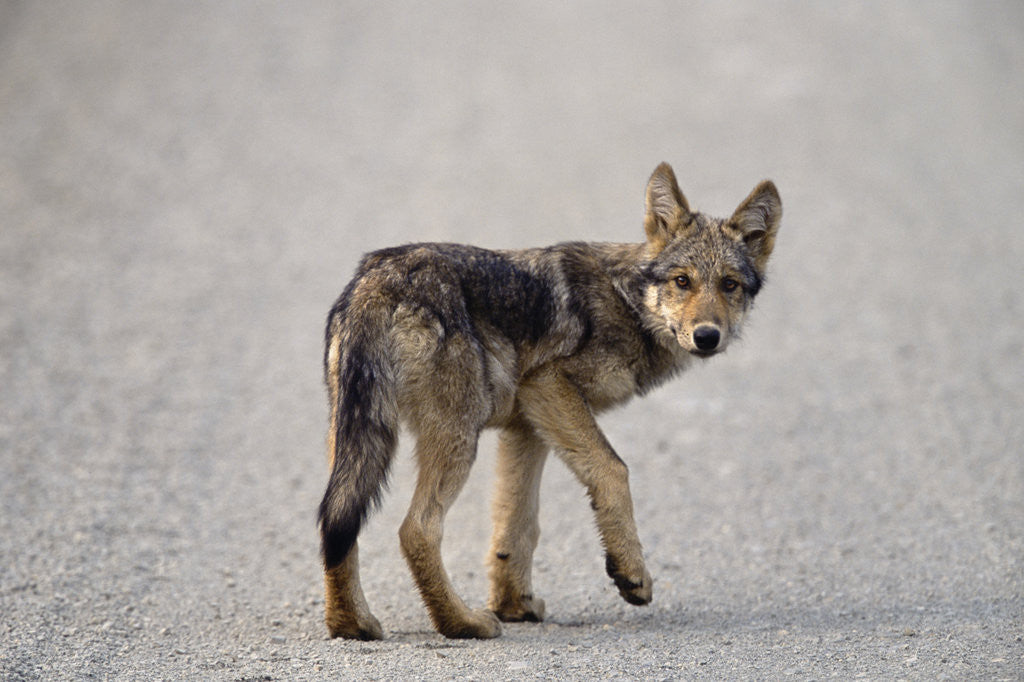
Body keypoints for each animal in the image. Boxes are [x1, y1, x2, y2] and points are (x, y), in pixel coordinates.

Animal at [318, 162, 781, 639]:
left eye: (729, 285)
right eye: (683, 281)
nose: (707, 336)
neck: (627, 301)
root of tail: (375, 280)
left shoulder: (527, 427)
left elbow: (517, 526)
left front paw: (514, 605)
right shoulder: (547, 385)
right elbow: (614, 470)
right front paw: (631, 573)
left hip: (356, 441)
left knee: (335, 522)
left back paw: (351, 623)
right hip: (455, 440)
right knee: (415, 529)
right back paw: (463, 622)